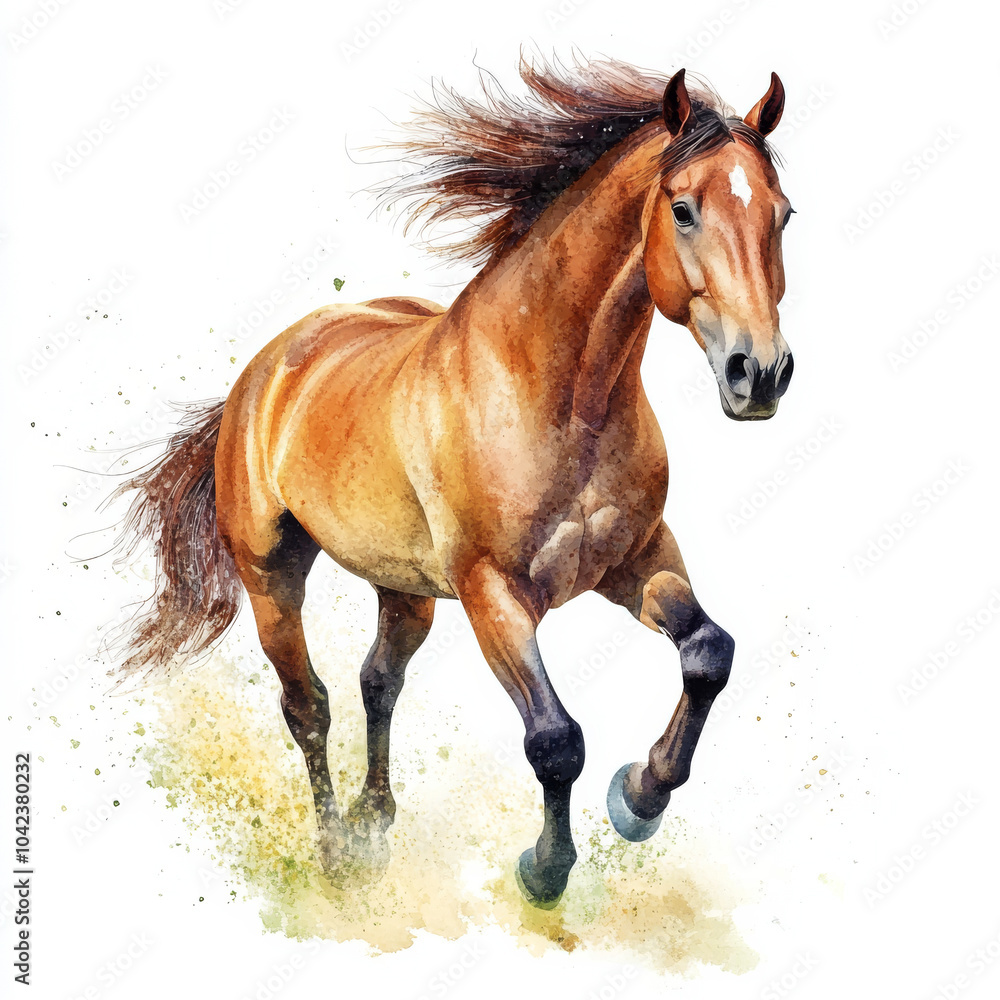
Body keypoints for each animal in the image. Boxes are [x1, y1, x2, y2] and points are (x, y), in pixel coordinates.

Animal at [109, 56, 794, 908]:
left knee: (377, 682)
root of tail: (269, 366)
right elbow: (556, 739)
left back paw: (373, 826)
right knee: (308, 706)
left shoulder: (635, 560)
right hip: (273, 575)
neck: (560, 396)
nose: (759, 374)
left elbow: (708, 653)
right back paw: (334, 853)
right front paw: (545, 869)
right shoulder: (492, 592)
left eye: (783, 215)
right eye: (683, 209)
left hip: (404, 588)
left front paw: (639, 799)